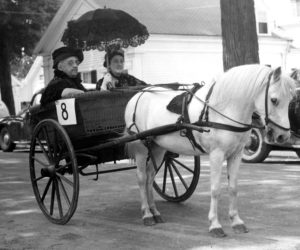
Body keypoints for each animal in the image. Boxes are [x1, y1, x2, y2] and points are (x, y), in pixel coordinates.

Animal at [123, 64, 296, 236]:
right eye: (274, 100)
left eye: (290, 100)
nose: (283, 136)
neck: (223, 109)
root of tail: (137, 95)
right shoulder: (216, 155)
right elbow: (215, 189)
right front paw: (215, 224)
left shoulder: (236, 154)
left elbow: (233, 188)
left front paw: (236, 221)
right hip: (141, 147)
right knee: (142, 178)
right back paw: (146, 214)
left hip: (158, 148)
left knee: (150, 176)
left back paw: (155, 212)